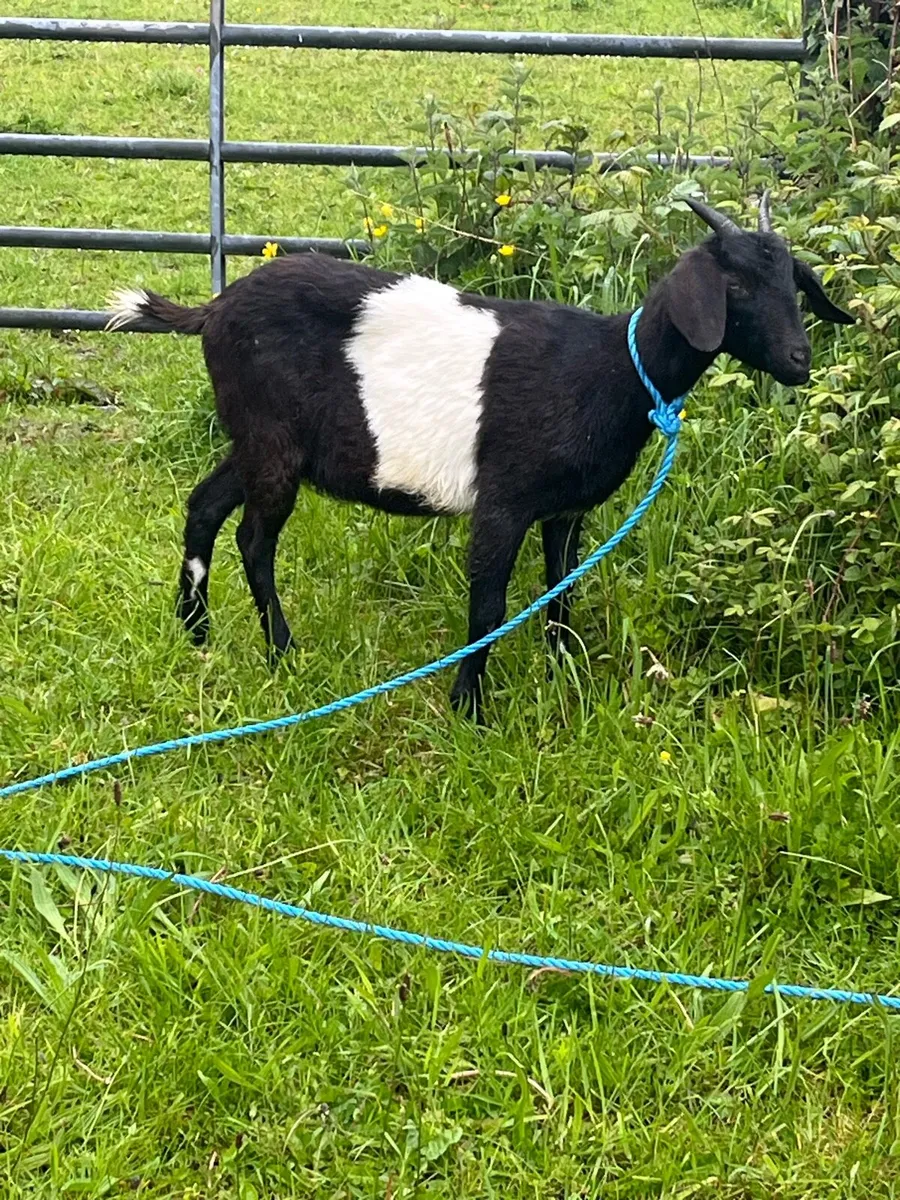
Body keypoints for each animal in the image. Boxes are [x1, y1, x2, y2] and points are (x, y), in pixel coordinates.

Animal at [108, 193, 853, 719]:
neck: (609, 368)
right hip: (272, 442)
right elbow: (489, 604)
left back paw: (196, 631)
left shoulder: (565, 509)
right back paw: (281, 652)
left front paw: (564, 677)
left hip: (258, 438)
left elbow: (562, 591)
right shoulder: (504, 498)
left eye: (794, 284)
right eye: (737, 288)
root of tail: (212, 311)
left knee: (204, 504)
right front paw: (469, 708)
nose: (798, 360)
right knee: (254, 539)